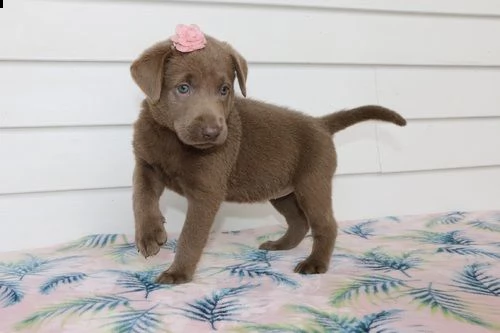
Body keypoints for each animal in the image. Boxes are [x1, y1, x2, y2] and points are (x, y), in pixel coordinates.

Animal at [130, 25, 406, 282]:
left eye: (224, 89)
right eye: (183, 88)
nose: (212, 132)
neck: (172, 139)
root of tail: (320, 123)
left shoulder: (206, 192)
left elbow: (191, 234)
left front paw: (178, 273)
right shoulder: (146, 164)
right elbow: (141, 198)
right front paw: (150, 234)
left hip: (313, 184)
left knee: (325, 224)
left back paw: (315, 263)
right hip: (282, 192)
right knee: (299, 222)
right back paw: (280, 245)